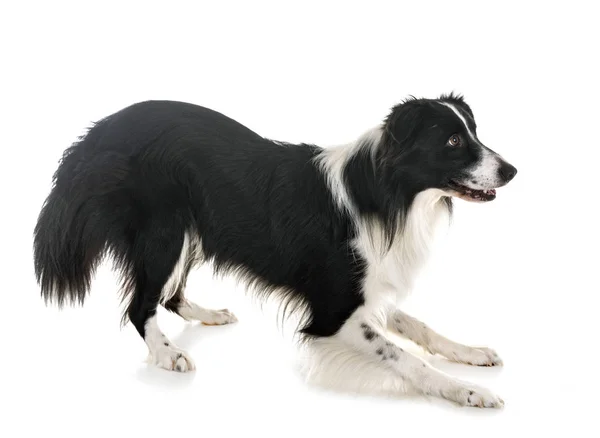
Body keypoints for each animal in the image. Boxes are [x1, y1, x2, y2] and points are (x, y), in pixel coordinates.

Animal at [35, 94, 516, 408]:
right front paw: (467, 390)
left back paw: (207, 315)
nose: (512, 170)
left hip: (191, 228)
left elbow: (419, 326)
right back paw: (168, 353)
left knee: (170, 295)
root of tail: (102, 128)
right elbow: (405, 358)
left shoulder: (363, 291)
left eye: (473, 132)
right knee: (141, 305)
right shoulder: (332, 314)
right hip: (164, 230)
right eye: (452, 141)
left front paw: (470, 353)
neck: (387, 193)